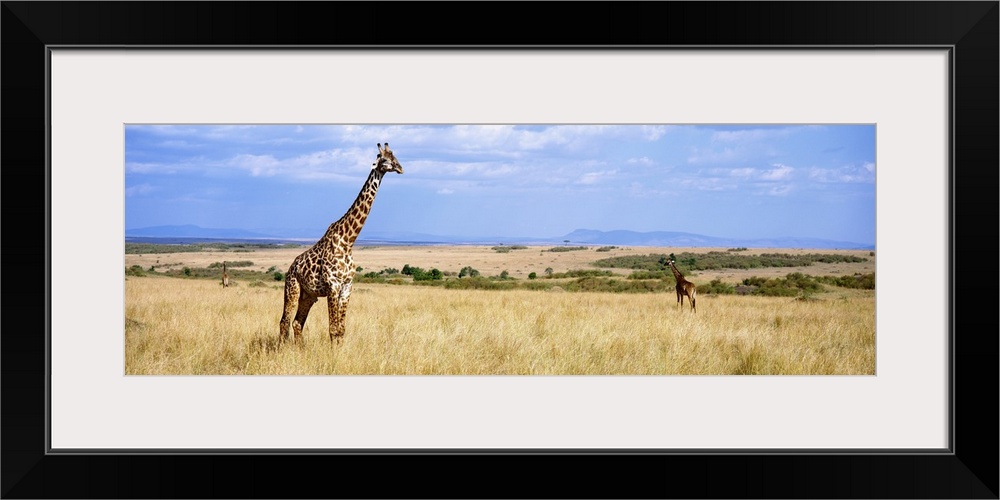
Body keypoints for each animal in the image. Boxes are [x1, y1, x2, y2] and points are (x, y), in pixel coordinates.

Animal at [278, 143, 402, 342]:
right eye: (384, 159)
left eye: (395, 156)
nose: (400, 168)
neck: (348, 241)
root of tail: (290, 268)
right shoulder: (333, 286)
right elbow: (333, 329)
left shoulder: (347, 286)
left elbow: (341, 329)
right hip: (292, 289)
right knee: (284, 321)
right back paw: (283, 349)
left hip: (309, 296)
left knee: (297, 323)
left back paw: (300, 348)